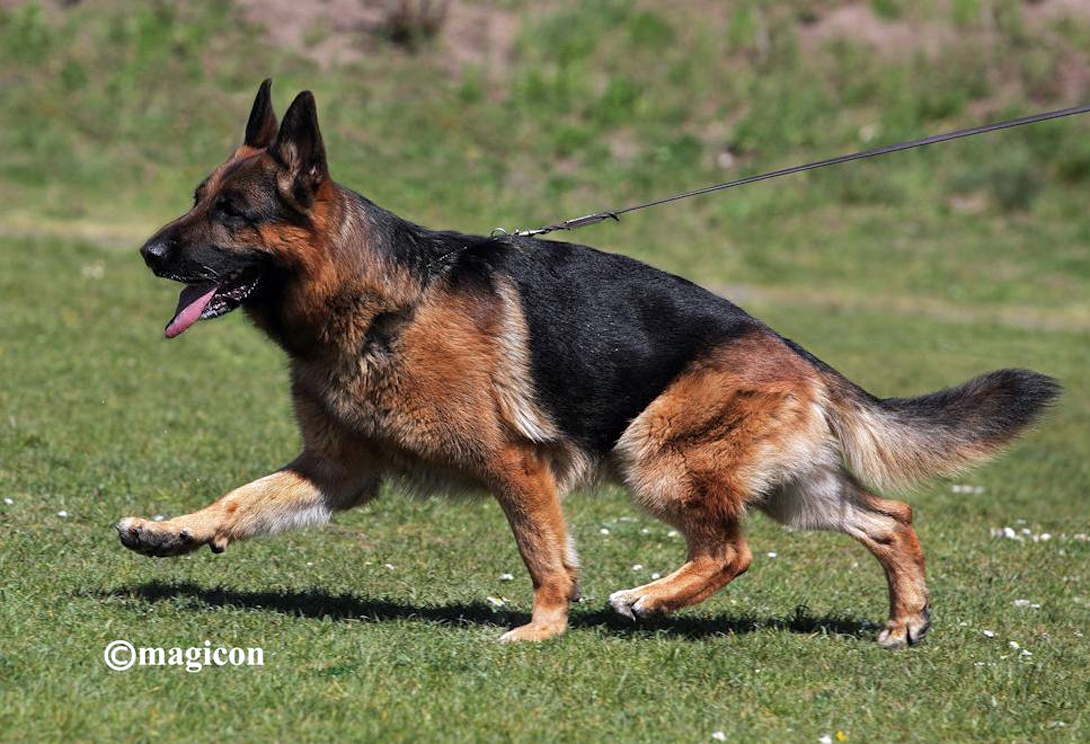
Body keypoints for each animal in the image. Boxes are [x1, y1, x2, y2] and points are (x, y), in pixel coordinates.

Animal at [118, 80, 1059, 647]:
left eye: (233, 212)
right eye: (198, 197)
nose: (148, 252)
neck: (384, 300)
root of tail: (796, 352)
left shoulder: (514, 464)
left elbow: (545, 557)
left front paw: (541, 630)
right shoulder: (336, 470)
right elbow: (241, 500)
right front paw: (174, 531)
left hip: (657, 457)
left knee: (734, 552)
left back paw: (649, 598)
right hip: (795, 490)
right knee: (891, 516)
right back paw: (905, 621)